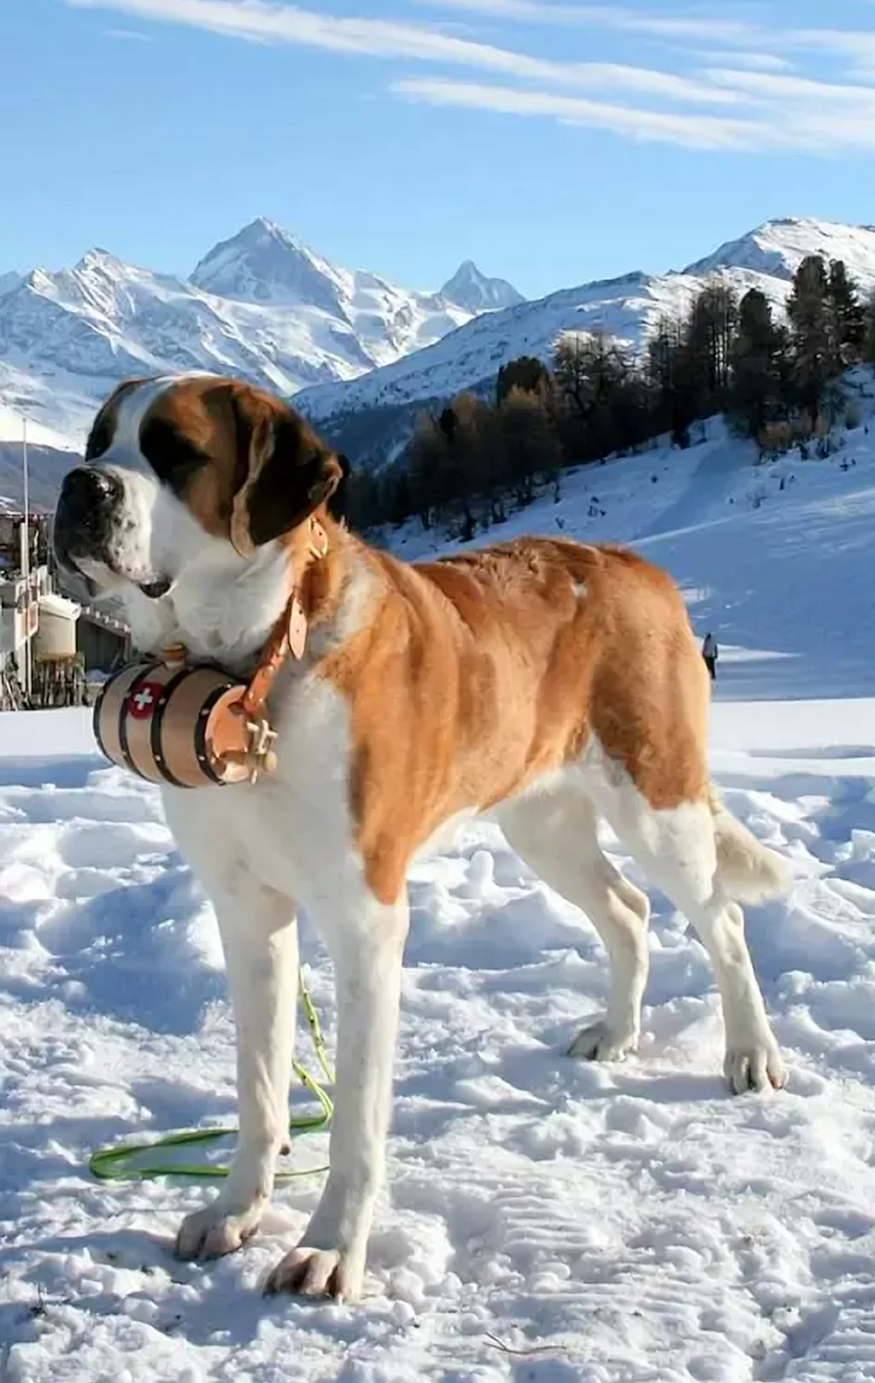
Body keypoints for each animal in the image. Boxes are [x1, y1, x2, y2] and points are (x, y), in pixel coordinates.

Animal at [54, 373, 790, 1300]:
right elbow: (258, 1083)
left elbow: (357, 1116)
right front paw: (235, 1210)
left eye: (173, 451)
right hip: (540, 821)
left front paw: (329, 1248)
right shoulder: (247, 911)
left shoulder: (366, 920)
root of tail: (632, 563)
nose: (79, 487)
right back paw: (617, 1033)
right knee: (626, 908)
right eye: (96, 442)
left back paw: (750, 1054)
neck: (252, 661)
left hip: (660, 804)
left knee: (719, 917)